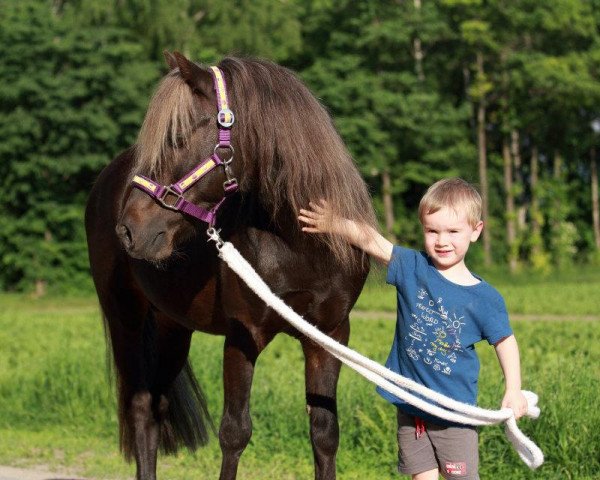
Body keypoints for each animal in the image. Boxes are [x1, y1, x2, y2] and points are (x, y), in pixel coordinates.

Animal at [85, 52, 376, 480]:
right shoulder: (243, 336)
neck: (300, 246)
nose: (129, 230)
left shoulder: (330, 335)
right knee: (140, 406)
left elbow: (324, 433)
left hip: (173, 325)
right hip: (125, 317)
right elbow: (235, 433)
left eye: (177, 137)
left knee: (157, 405)